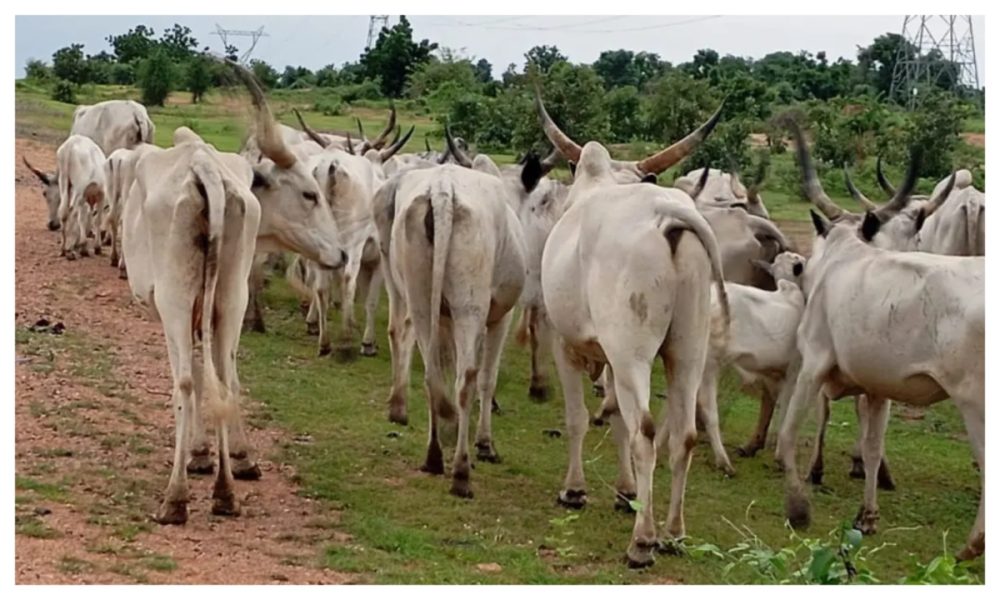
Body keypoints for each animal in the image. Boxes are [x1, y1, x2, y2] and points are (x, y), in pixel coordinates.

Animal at [371, 130, 527, 498]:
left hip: (418, 296)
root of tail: (443, 191)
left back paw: (433, 456)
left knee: (431, 372)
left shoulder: (442, 317)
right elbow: (487, 378)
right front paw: (484, 444)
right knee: (466, 378)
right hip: (469, 306)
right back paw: (461, 473)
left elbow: (445, 362)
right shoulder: (500, 316)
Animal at [535, 86, 729, 568]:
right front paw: (626, 493)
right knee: (683, 434)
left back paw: (642, 541)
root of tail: (668, 215)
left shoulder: (566, 343)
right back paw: (673, 532)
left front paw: (574, 490)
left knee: (646, 431)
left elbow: (579, 418)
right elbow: (615, 418)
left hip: (633, 352)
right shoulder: (609, 358)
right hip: (687, 349)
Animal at [774, 208, 984, 562]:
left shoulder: (813, 363)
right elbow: (872, 448)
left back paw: (972, 545)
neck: (841, 256)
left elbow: (789, 432)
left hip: (975, 405)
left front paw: (797, 506)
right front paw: (867, 516)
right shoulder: (878, 388)